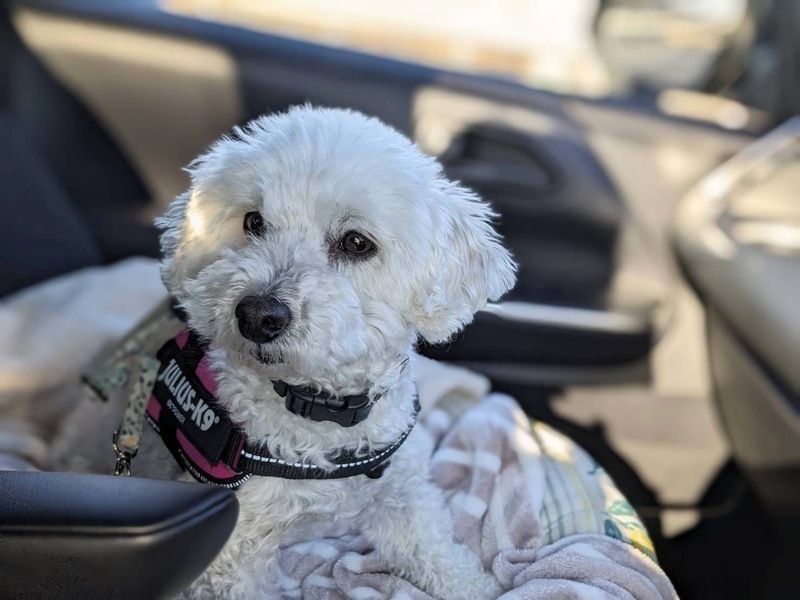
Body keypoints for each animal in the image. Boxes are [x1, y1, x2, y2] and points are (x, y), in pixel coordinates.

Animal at [55, 106, 516, 599]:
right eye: (254, 222)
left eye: (356, 242)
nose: (257, 315)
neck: (320, 409)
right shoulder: (232, 556)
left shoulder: (404, 494)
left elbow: (439, 553)